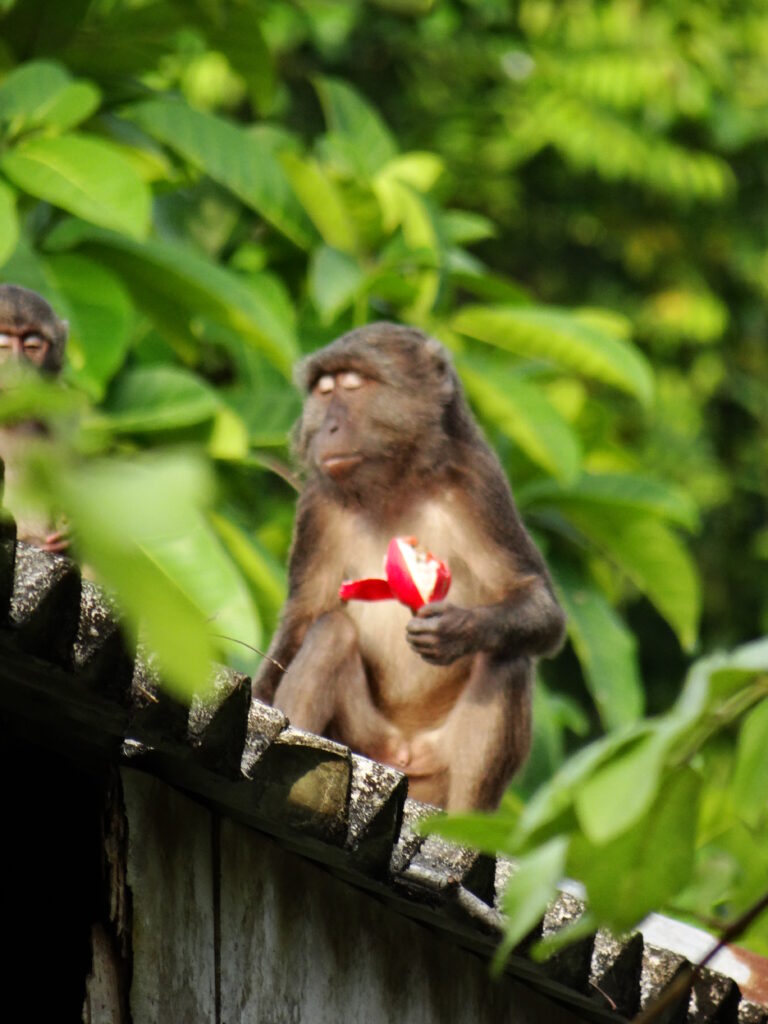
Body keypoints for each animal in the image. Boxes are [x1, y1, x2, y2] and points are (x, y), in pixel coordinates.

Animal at [252, 322, 566, 811]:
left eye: (353, 386)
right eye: (323, 391)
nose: (328, 427)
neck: (394, 485)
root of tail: (402, 755)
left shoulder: (478, 484)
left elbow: (535, 601)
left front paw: (457, 630)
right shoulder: (318, 505)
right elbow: (304, 619)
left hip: (434, 773)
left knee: (505, 659)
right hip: (365, 744)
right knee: (331, 633)